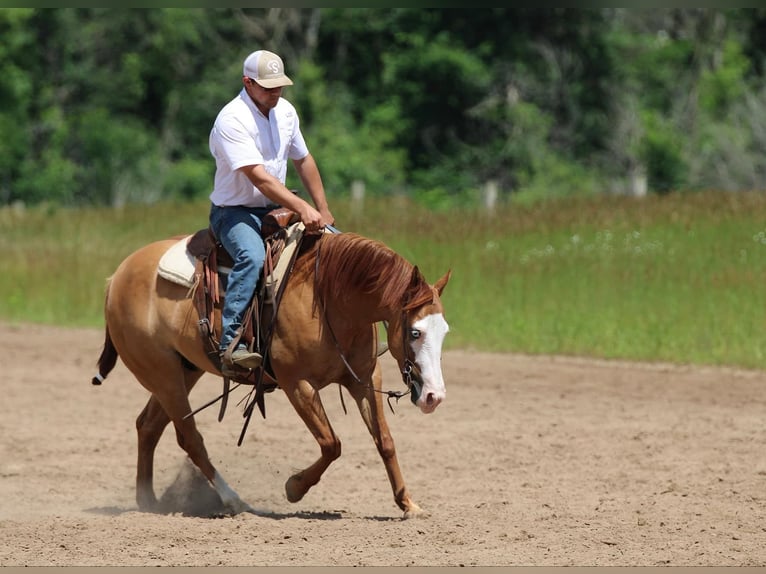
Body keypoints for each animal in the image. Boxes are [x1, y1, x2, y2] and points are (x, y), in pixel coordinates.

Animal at [91, 231, 450, 520]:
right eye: (415, 332)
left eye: (444, 331)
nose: (434, 397)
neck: (330, 298)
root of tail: (117, 276)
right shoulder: (297, 384)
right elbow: (331, 444)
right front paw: (294, 487)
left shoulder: (364, 378)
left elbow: (385, 442)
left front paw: (408, 504)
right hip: (163, 373)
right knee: (189, 437)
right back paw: (234, 501)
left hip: (184, 370)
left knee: (149, 425)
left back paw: (148, 501)